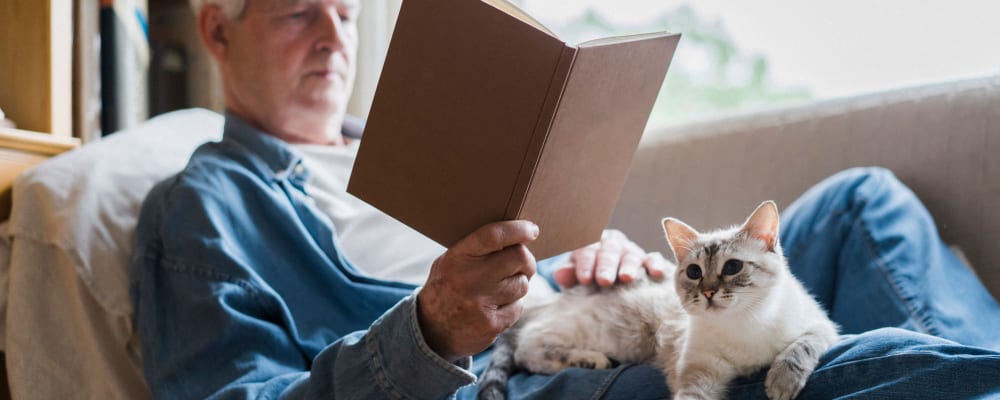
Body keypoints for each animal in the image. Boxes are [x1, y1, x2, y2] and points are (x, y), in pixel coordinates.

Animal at [480, 203, 840, 400]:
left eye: (732, 267)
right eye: (694, 272)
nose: (708, 292)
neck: (743, 325)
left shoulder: (822, 327)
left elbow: (799, 349)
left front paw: (781, 383)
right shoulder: (698, 371)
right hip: (604, 335)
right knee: (529, 349)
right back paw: (590, 360)